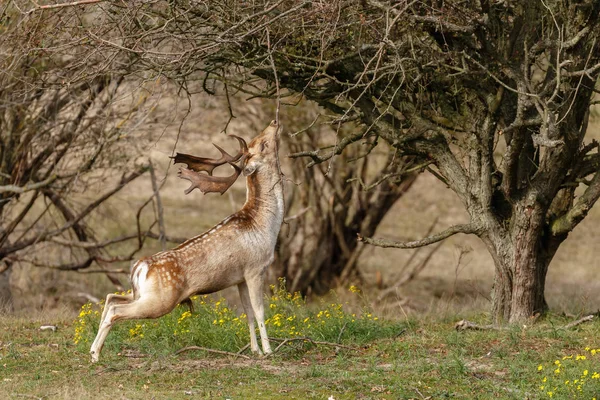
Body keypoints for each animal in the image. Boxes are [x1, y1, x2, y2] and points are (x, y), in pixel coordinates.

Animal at [90, 120, 284, 360]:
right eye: (263, 144)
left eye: (259, 139)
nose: (274, 122)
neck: (266, 226)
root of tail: (139, 266)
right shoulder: (255, 268)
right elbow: (259, 311)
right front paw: (268, 351)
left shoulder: (239, 278)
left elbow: (247, 312)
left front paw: (255, 350)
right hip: (160, 300)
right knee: (116, 310)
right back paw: (95, 354)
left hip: (141, 294)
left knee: (111, 298)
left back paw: (92, 350)